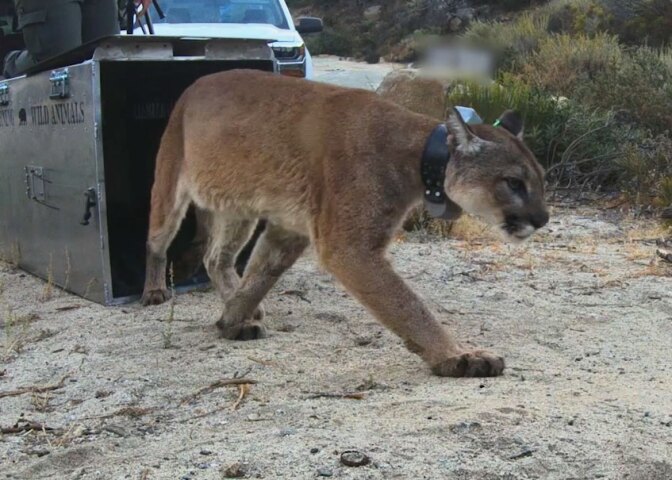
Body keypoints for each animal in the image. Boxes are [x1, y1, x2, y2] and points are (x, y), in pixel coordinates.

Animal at [141, 69, 548, 378]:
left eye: (541, 181)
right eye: (514, 183)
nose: (542, 218)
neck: (417, 156)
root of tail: (196, 83)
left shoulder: (290, 230)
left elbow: (260, 276)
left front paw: (233, 319)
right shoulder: (349, 247)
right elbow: (407, 305)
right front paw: (457, 356)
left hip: (239, 207)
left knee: (217, 258)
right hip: (170, 185)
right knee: (158, 241)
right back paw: (154, 291)